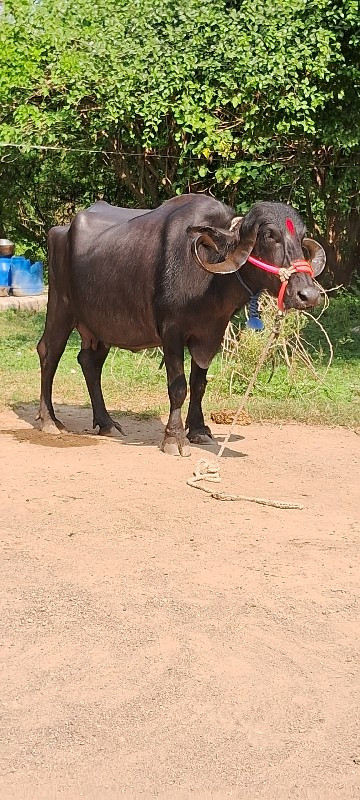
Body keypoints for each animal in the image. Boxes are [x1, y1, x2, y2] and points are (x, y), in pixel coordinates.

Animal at [37, 192, 326, 456]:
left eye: (301, 237)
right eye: (269, 235)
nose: (308, 295)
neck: (209, 278)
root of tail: (61, 230)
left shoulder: (211, 333)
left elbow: (199, 384)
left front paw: (198, 430)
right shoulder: (171, 331)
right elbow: (178, 387)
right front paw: (174, 438)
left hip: (101, 325)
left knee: (90, 362)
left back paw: (106, 422)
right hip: (60, 307)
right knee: (49, 352)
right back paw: (49, 420)